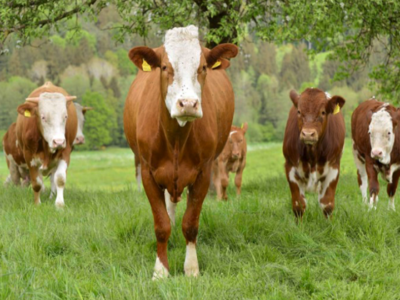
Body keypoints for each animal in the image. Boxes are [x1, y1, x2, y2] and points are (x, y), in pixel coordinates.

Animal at [124, 25, 238, 278]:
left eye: (203, 67)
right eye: (166, 67)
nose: (187, 104)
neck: (176, 139)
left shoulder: (204, 173)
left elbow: (191, 223)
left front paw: (191, 269)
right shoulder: (147, 173)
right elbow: (161, 224)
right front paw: (160, 271)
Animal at [282, 88, 346, 217]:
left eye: (323, 112)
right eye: (299, 111)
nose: (308, 134)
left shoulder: (334, 167)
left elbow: (327, 205)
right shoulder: (290, 166)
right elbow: (298, 205)